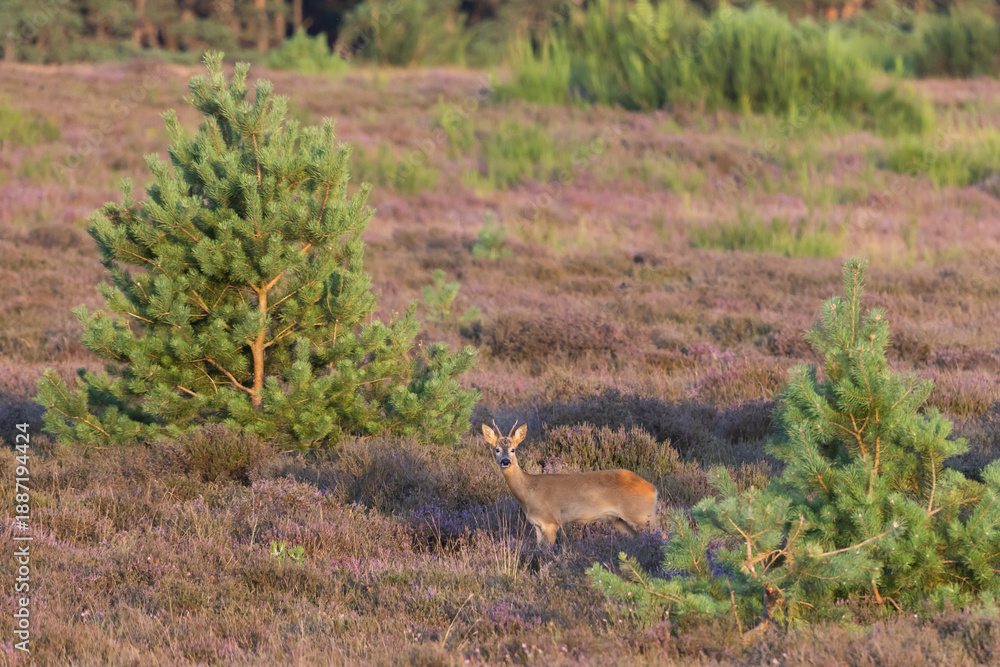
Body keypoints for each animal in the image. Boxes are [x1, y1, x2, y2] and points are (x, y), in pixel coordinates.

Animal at [483, 421, 658, 545]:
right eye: (497, 449)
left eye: (513, 449)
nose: (505, 461)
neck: (529, 490)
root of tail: (653, 489)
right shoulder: (537, 525)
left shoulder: (551, 521)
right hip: (621, 520)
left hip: (642, 516)